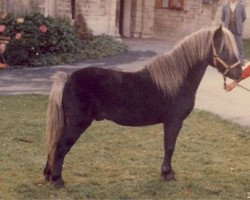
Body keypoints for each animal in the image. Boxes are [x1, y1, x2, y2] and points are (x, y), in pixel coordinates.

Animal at [43, 25, 242, 187]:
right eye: (224, 49)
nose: (239, 73)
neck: (176, 81)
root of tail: (67, 78)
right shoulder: (174, 121)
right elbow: (170, 147)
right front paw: (167, 174)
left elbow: (168, 146)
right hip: (78, 123)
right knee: (61, 145)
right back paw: (57, 180)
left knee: (53, 144)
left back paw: (48, 175)